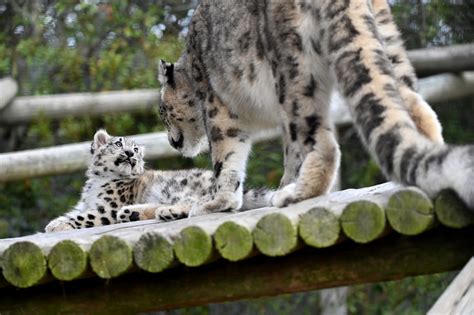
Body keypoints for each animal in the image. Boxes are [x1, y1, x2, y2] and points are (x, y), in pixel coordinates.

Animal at [45, 130, 274, 233]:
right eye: (118, 143)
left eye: (136, 149)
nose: (130, 154)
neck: (97, 181)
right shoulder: (86, 204)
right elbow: (77, 212)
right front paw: (56, 222)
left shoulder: (107, 208)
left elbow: (85, 217)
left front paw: (55, 225)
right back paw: (133, 213)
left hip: (179, 188)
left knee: (194, 202)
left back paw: (168, 211)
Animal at [158, 0, 474, 217]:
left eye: (162, 112)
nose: (172, 142)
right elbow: (288, 152)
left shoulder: (219, 108)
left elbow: (225, 157)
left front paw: (215, 201)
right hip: (388, 44)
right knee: (417, 107)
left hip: (293, 71)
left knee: (319, 140)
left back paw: (295, 194)